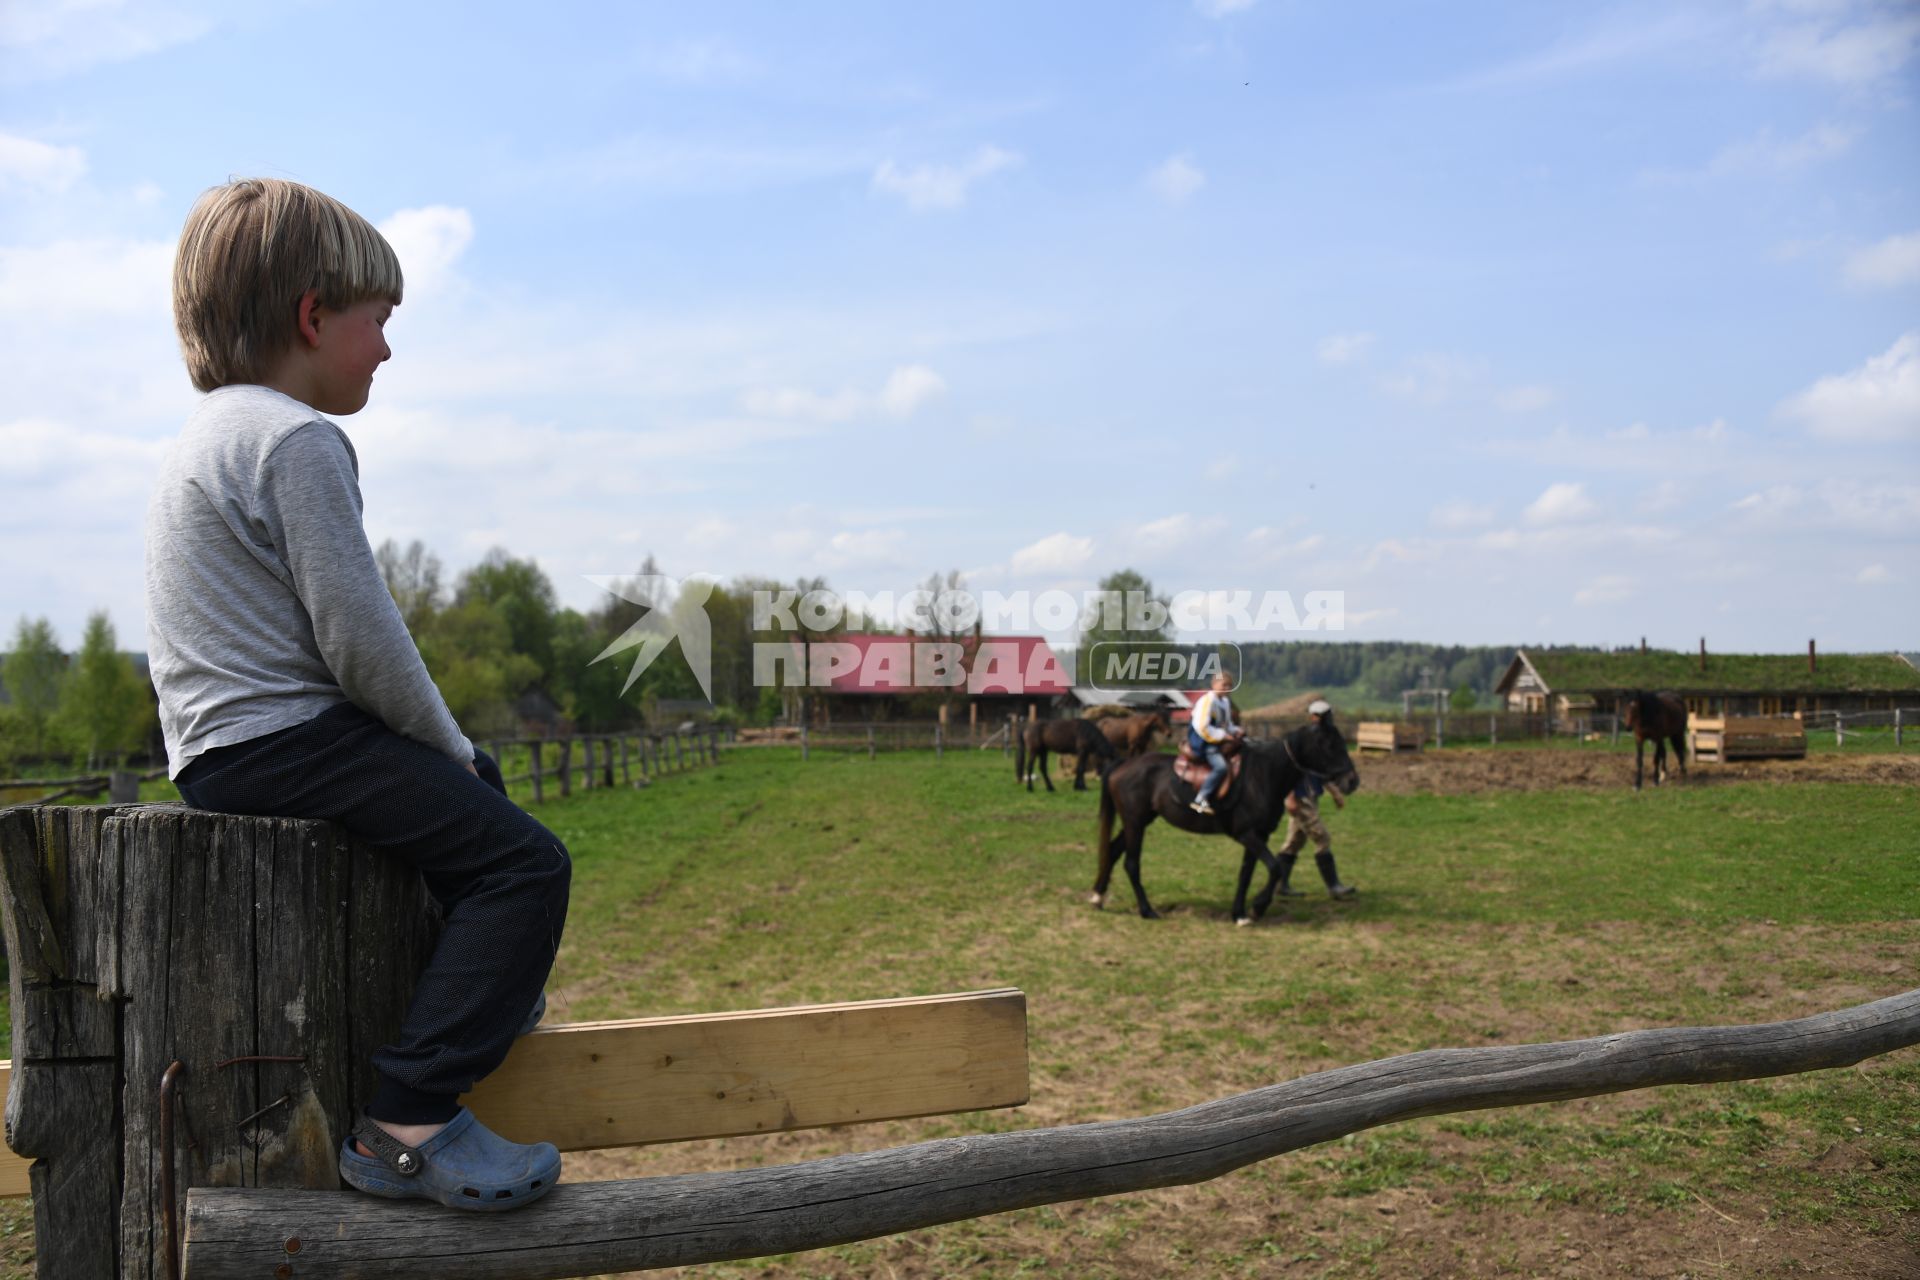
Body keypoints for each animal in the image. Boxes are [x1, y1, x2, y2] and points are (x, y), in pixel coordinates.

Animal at [1098, 721, 1367, 921]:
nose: (1352, 780)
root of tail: (1123, 764)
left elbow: (1246, 873)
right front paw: (1258, 906)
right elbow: (1275, 867)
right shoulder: (1247, 834)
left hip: (1139, 822)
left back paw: (1098, 896)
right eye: (1330, 745)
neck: (1264, 774)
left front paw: (1239, 913)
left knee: (1112, 851)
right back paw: (1146, 910)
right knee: (1131, 863)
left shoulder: (1259, 835)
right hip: (1135, 823)